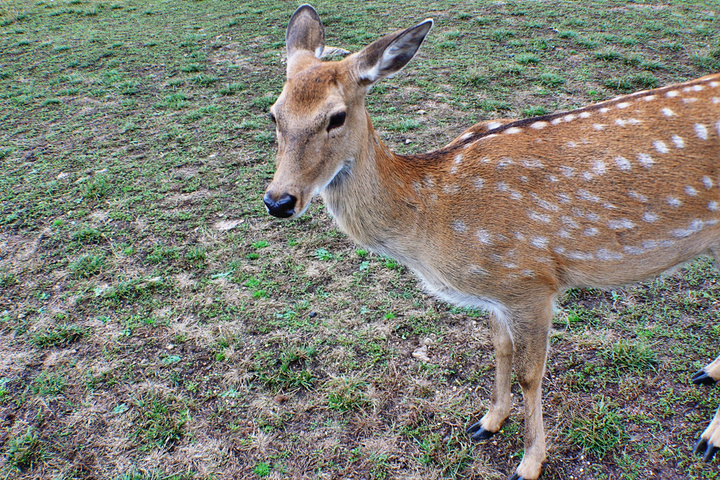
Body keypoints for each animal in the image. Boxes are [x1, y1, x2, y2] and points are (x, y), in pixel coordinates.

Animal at [262, 4, 720, 480]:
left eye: (336, 117)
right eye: (273, 114)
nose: (278, 200)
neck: (433, 218)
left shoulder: (531, 282)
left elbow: (529, 374)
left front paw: (530, 461)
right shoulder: (497, 293)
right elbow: (499, 350)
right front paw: (488, 421)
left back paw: (710, 437)